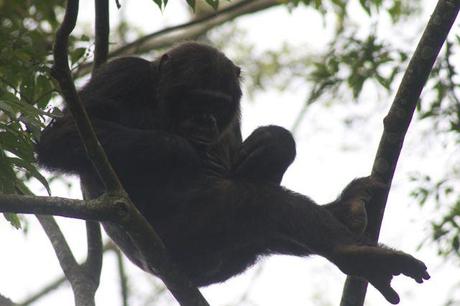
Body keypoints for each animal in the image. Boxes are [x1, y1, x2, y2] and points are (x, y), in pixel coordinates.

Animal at [37, 41, 430, 304]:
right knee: (260, 203)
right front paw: (182, 151)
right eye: (195, 100)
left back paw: (348, 211)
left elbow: (249, 159)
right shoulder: (120, 75)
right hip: (190, 236)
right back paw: (355, 253)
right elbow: (63, 136)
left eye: (218, 104)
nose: (205, 120)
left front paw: (274, 144)